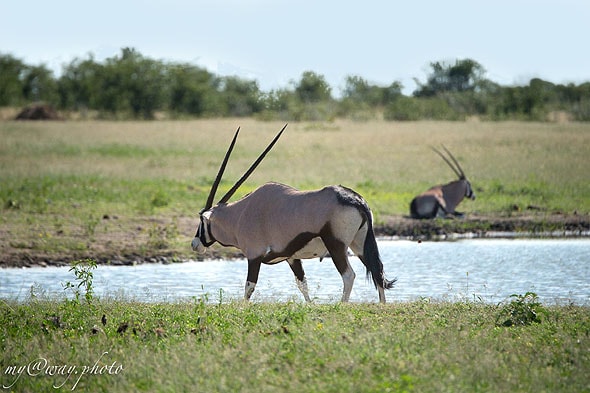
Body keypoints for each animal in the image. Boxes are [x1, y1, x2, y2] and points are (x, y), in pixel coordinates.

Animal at [193, 124, 398, 302]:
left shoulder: (254, 256)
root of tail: (358, 201)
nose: (194, 244)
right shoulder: (291, 257)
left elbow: (249, 287)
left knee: (349, 275)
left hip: (337, 246)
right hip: (359, 244)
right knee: (377, 270)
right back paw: (382, 305)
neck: (239, 214)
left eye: (202, 221)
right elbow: (302, 283)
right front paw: (310, 305)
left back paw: (343, 304)